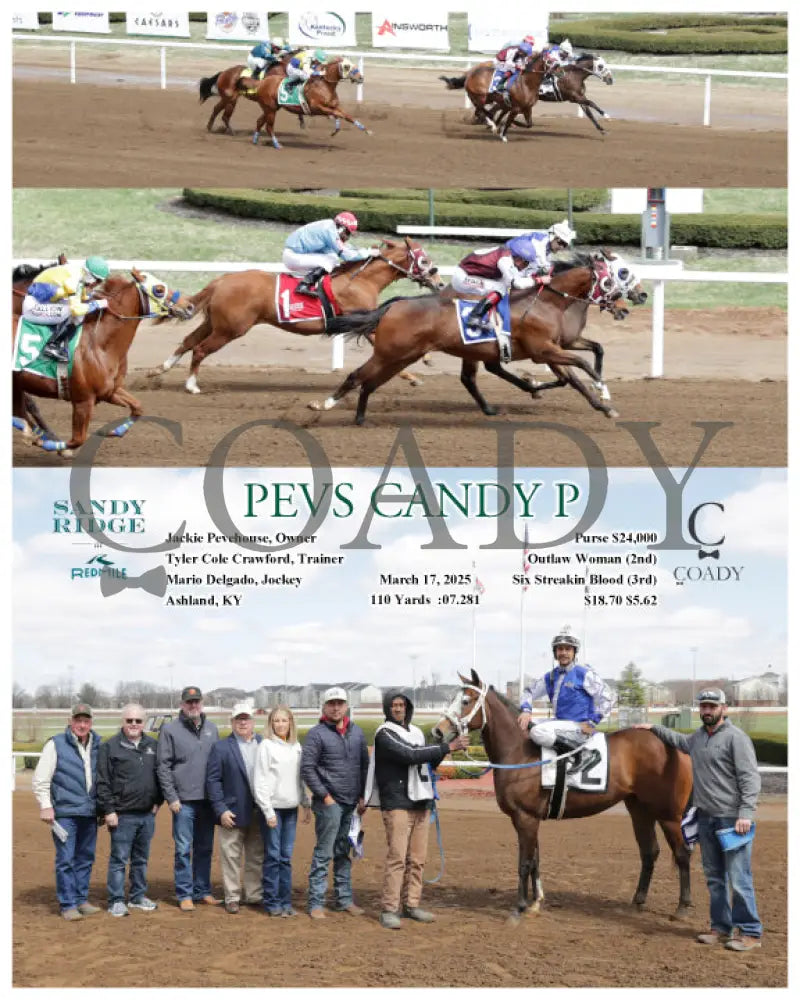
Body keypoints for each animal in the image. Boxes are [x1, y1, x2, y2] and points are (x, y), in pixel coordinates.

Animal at [12, 266, 194, 456]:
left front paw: (113, 431)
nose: (189, 306)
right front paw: (48, 444)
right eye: (159, 289)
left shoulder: (110, 391)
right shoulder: (83, 401)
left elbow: (138, 407)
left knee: (20, 412)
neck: (100, 343)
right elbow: (77, 440)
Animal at [148, 239, 442, 395]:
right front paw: (418, 369)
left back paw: (159, 369)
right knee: (199, 349)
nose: (439, 282)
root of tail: (221, 280)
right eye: (425, 260)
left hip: (215, 322)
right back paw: (191, 385)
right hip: (230, 329)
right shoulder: (360, 317)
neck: (361, 280)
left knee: (188, 341)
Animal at [314, 251, 644, 425]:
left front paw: (603, 405)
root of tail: (394, 304)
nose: (631, 303)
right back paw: (323, 406)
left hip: (406, 355)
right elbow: (581, 368)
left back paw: (360, 417)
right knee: (357, 376)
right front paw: (603, 391)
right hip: (392, 353)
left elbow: (584, 365)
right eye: (615, 278)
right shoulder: (544, 350)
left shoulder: (556, 347)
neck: (550, 303)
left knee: (371, 382)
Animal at [431, 670, 693, 921]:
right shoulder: (529, 818)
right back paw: (638, 901)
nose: (437, 731)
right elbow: (535, 860)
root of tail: (673, 742)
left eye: (465, 700)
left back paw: (682, 906)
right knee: (649, 851)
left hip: (669, 814)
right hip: (639, 809)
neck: (520, 753)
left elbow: (524, 862)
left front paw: (520, 907)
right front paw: (536, 903)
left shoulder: (525, 817)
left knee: (682, 853)